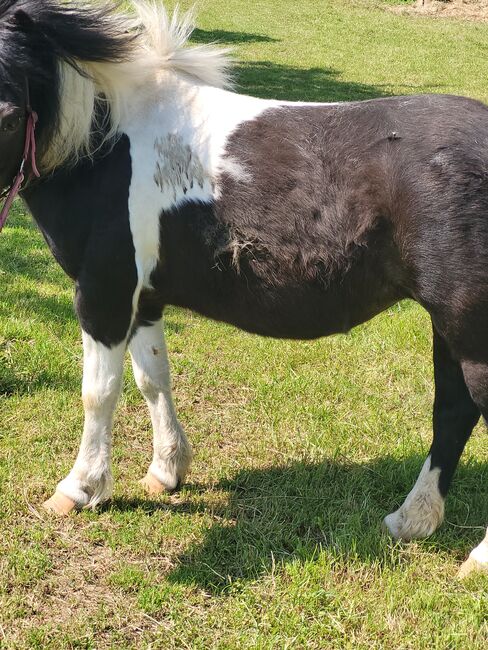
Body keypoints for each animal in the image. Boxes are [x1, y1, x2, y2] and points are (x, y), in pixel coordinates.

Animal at [0, 1, 488, 576]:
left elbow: (99, 393)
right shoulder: (144, 299)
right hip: (450, 328)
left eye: (9, 115)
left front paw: (81, 488)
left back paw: (475, 559)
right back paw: (410, 520)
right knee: (453, 412)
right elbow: (153, 380)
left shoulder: (104, 294)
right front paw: (167, 471)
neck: (107, 146)